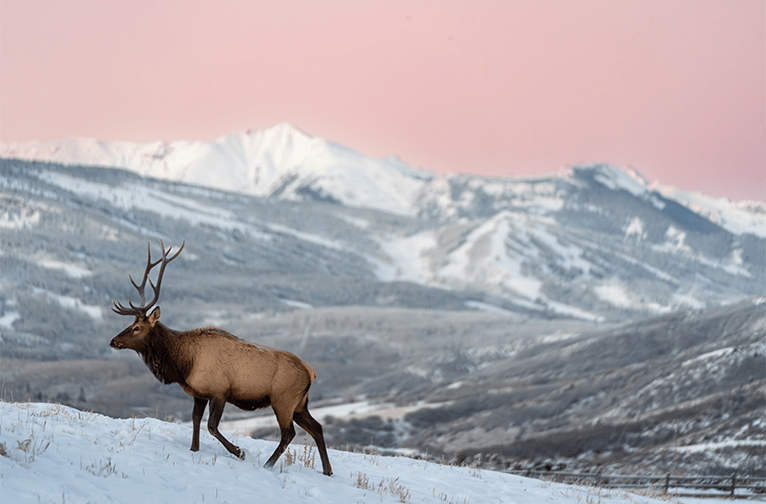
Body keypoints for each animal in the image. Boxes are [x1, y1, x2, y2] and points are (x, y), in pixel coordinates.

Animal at [109, 241, 332, 476]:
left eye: (136, 328)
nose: (113, 341)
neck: (182, 364)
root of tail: (311, 372)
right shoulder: (199, 394)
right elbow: (195, 420)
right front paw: (194, 448)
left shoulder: (219, 391)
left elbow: (211, 426)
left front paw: (240, 452)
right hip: (299, 404)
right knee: (317, 427)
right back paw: (327, 470)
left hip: (283, 400)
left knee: (288, 433)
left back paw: (268, 464)